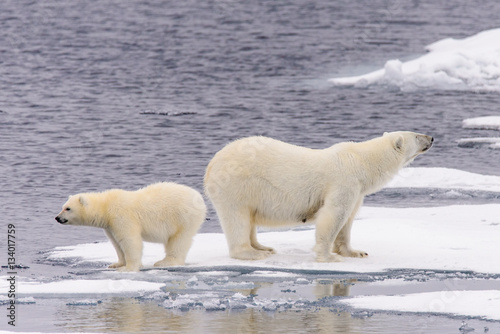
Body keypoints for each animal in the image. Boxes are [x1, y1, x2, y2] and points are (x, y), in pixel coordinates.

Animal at [56, 183, 207, 272]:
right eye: (63, 206)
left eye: (68, 208)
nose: (57, 218)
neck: (106, 207)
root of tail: (200, 198)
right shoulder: (110, 226)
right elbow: (116, 243)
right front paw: (116, 264)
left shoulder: (122, 216)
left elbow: (130, 240)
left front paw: (128, 268)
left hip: (183, 217)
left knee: (179, 240)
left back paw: (165, 262)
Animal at [205, 132, 432, 262]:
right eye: (416, 135)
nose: (432, 137)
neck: (361, 161)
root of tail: (210, 165)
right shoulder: (344, 181)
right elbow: (334, 215)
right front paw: (328, 256)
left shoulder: (357, 190)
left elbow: (348, 219)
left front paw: (355, 252)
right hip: (237, 185)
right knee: (237, 218)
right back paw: (253, 253)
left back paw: (263, 246)